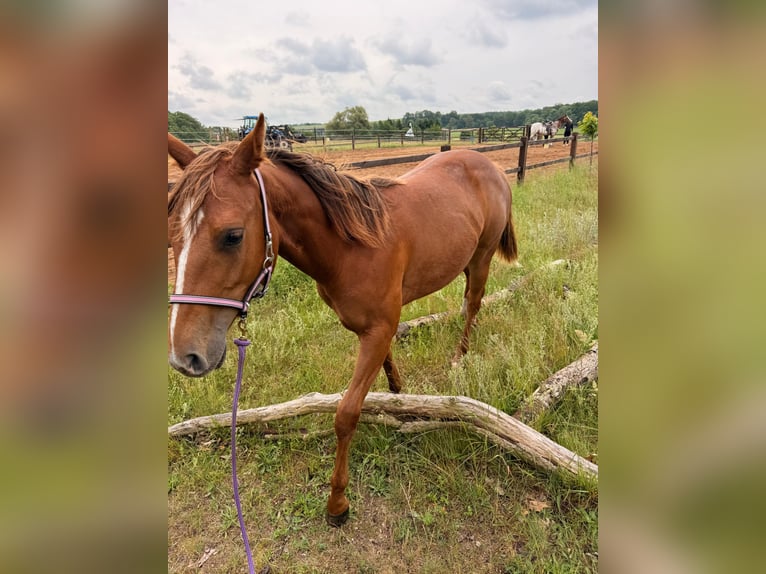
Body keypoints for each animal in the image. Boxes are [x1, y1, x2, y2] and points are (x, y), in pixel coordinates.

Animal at [167, 113, 518, 527]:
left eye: (233, 235)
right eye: (172, 234)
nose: (185, 356)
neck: (351, 247)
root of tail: (489, 165)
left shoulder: (378, 330)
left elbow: (346, 414)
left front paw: (338, 503)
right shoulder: (377, 330)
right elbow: (387, 367)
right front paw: (400, 398)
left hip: (482, 258)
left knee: (473, 303)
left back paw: (461, 356)